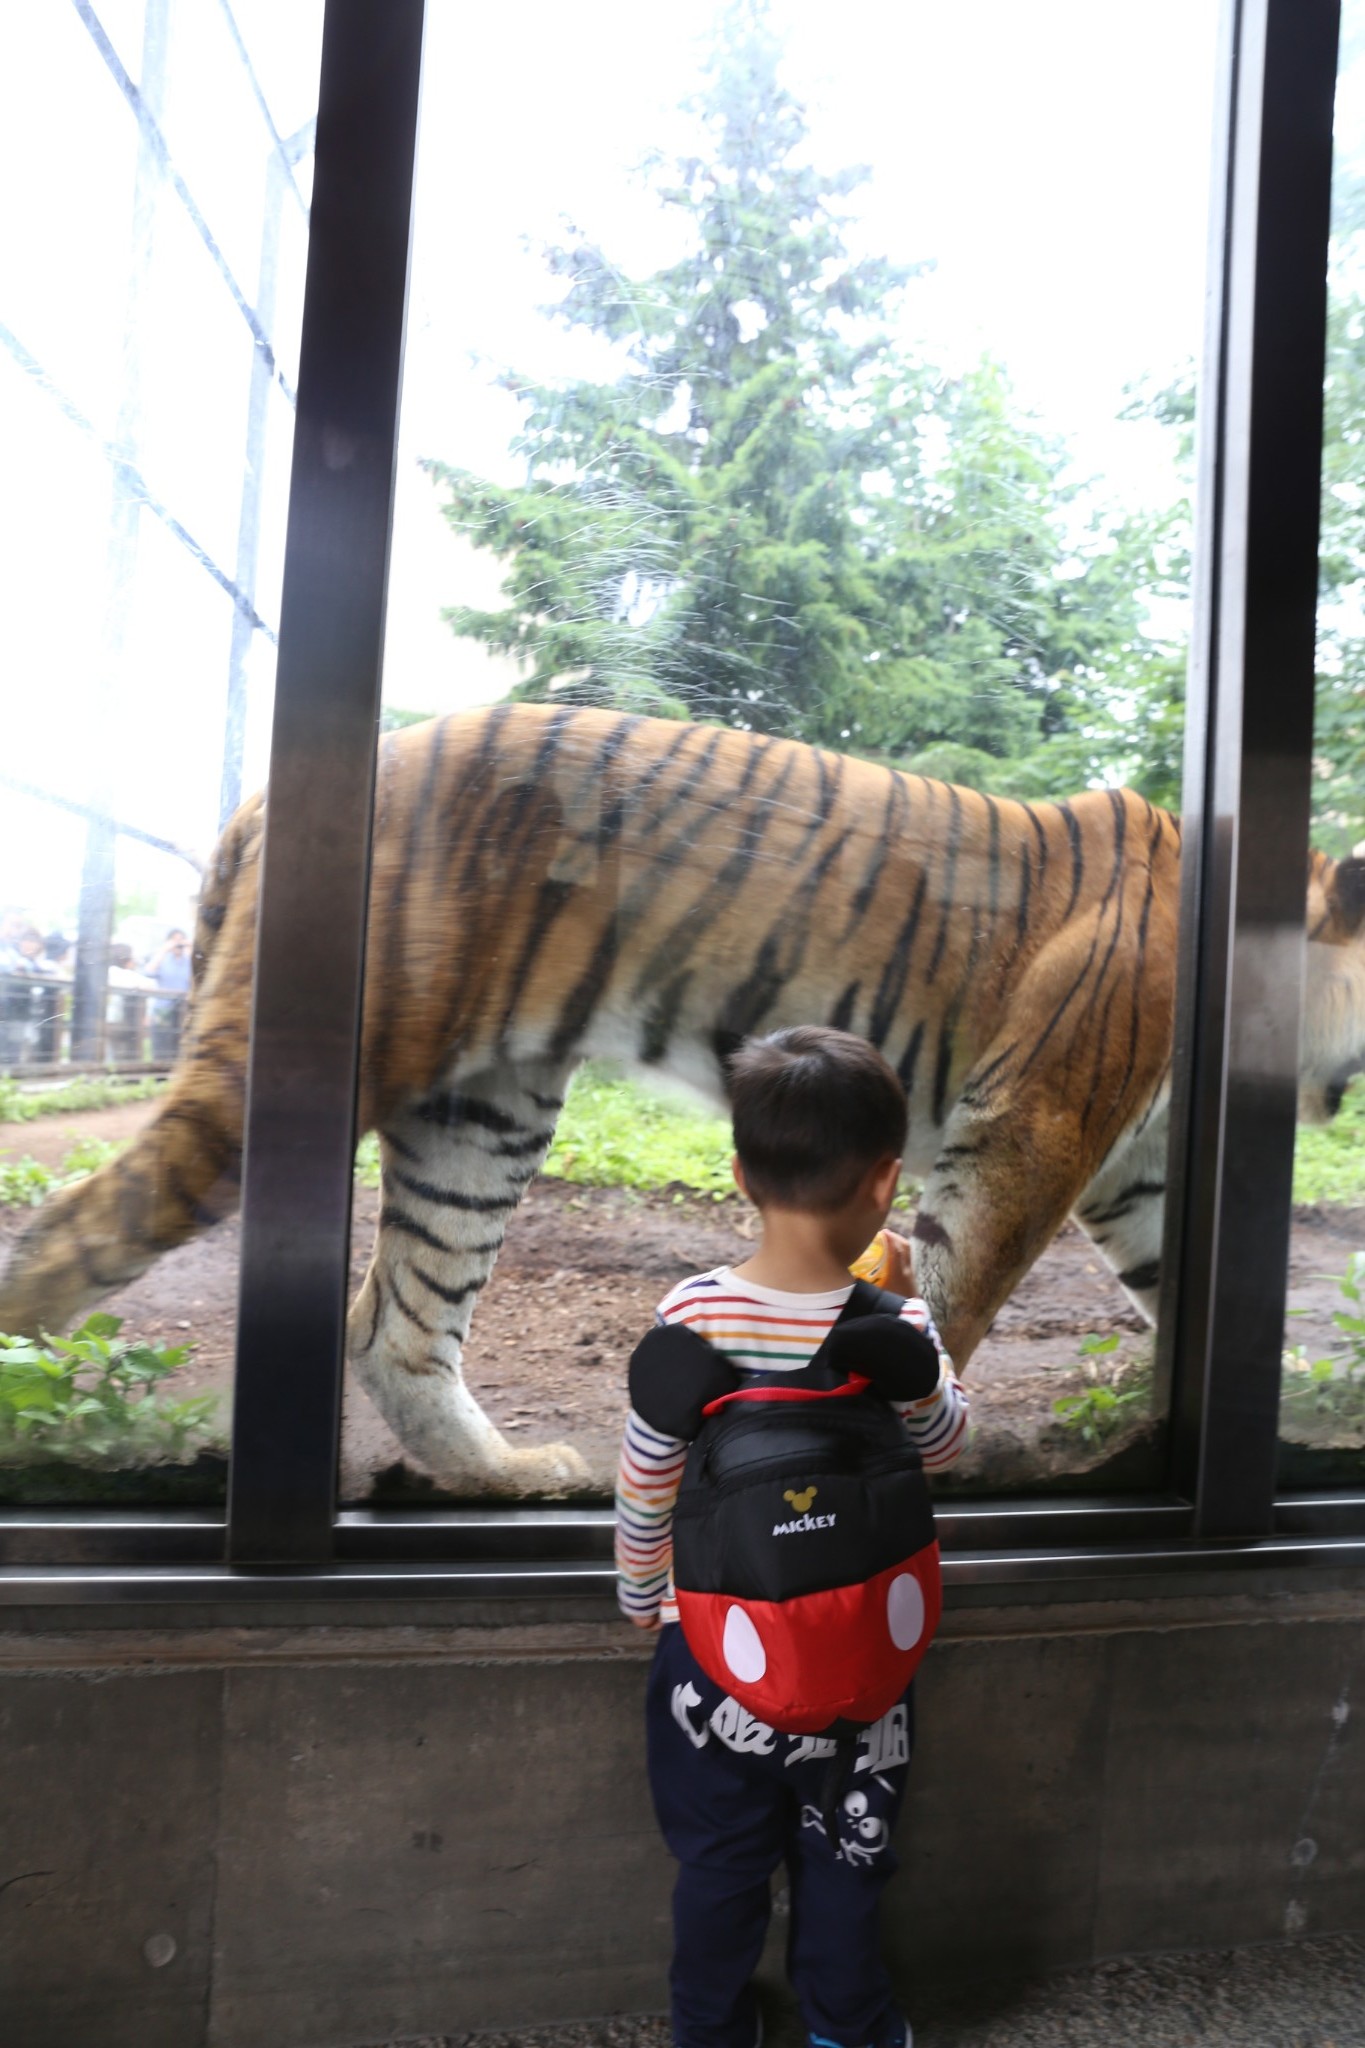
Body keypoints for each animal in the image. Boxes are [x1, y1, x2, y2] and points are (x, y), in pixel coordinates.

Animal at [2, 700, 1365, 1490]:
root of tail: (262, 798)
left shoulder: (1136, 1168)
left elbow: (1186, 1291)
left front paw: (1289, 1416)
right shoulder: (1033, 1128)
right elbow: (955, 1288)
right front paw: (951, 1449)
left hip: (482, 1116)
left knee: (397, 1326)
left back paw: (507, 1474)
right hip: (290, 1077)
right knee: (73, 1228)